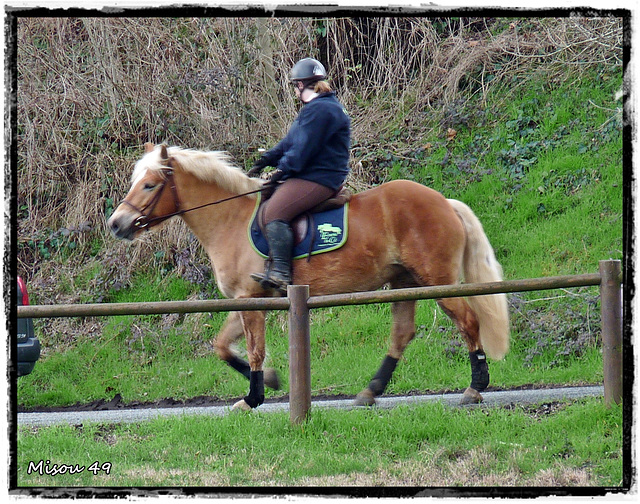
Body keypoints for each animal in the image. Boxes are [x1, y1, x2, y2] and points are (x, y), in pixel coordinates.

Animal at [109, 144, 510, 412]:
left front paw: (253, 397)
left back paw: (475, 388)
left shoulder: (250, 299)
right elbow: (222, 346)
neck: (230, 219)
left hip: (435, 280)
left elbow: (253, 350)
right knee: (402, 333)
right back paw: (371, 391)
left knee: (468, 321)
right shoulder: (247, 299)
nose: (116, 224)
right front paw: (270, 381)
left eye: (149, 185)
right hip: (403, 283)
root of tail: (445, 202)